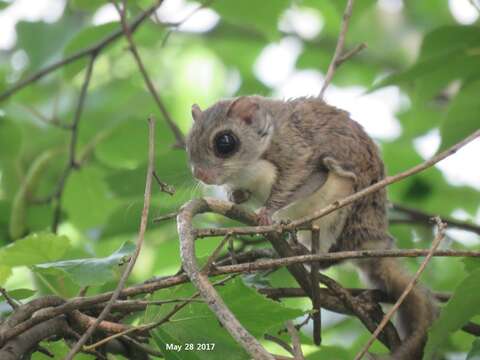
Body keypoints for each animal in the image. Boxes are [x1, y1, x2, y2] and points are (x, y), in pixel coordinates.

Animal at [186, 94, 436, 358]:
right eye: (189, 142)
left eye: (225, 142)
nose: (201, 174)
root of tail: (371, 238)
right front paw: (235, 196)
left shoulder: (300, 155)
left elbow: (299, 184)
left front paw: (267, 213)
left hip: (341, 207)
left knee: (327, 259)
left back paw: (302, 251)